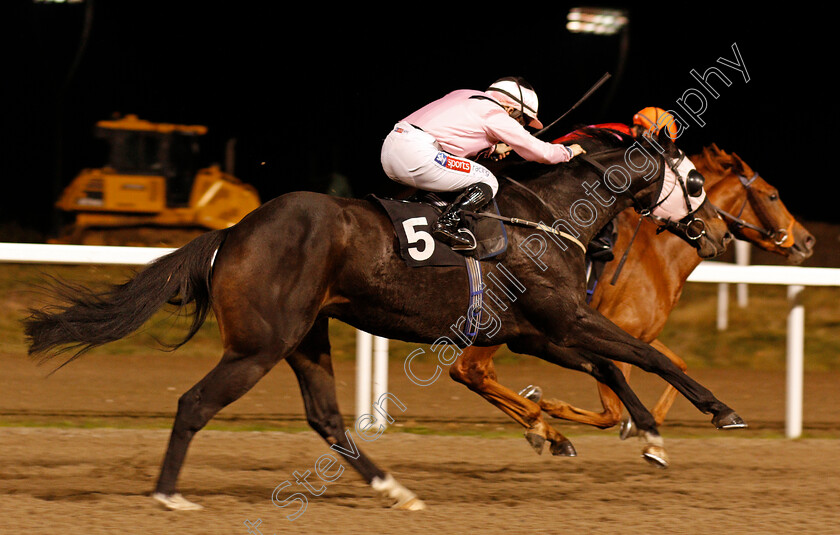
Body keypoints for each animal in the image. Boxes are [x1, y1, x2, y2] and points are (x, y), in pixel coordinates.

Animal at [23, 126, 740, 510]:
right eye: (695, 182)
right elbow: (644, 353)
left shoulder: (536, 331)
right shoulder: (557, 319)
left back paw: (395, 489)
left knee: (325, 416)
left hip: (306, 336)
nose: (714, 233)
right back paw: (169, 494)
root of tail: (233, 231)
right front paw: (719, 411)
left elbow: (610, 363)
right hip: (259, 345)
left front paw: (645, 430)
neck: (549, 216)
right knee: (195, 403)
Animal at [452, 141, 812, 464]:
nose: (807, 241)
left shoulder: (639, 331)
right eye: (772, 195)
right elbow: (612, 409)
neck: (657, 254)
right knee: (469, 370)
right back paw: (543, 425)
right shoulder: (610, 326)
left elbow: (676, 364)